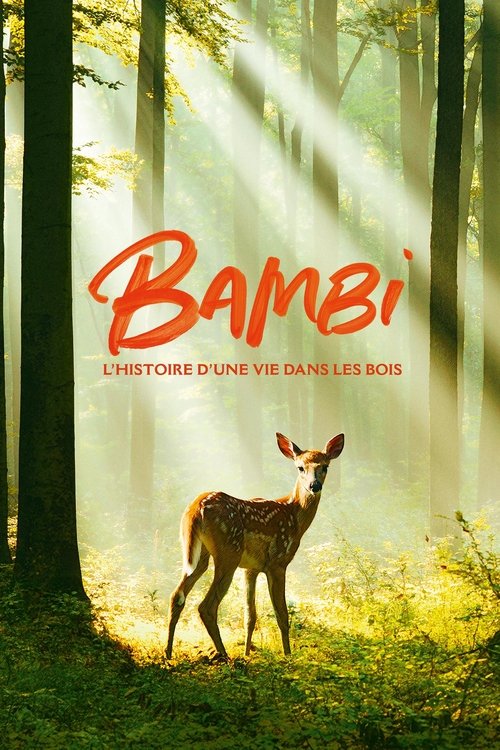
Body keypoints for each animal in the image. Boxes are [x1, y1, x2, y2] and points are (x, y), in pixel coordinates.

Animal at [166, 432, 344, 660]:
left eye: (325, 466)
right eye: (300, 467)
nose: (315, 486)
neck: (294, 516)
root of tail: (196, 507)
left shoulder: (250, 569)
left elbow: (250, 616)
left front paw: (247, 653)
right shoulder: (278, 562)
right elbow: (282, 614)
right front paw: (287, 656)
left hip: (196, 554)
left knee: (176, 596)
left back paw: (168, 652)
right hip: (228, 553)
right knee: (206, 606)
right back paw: (224, 655)